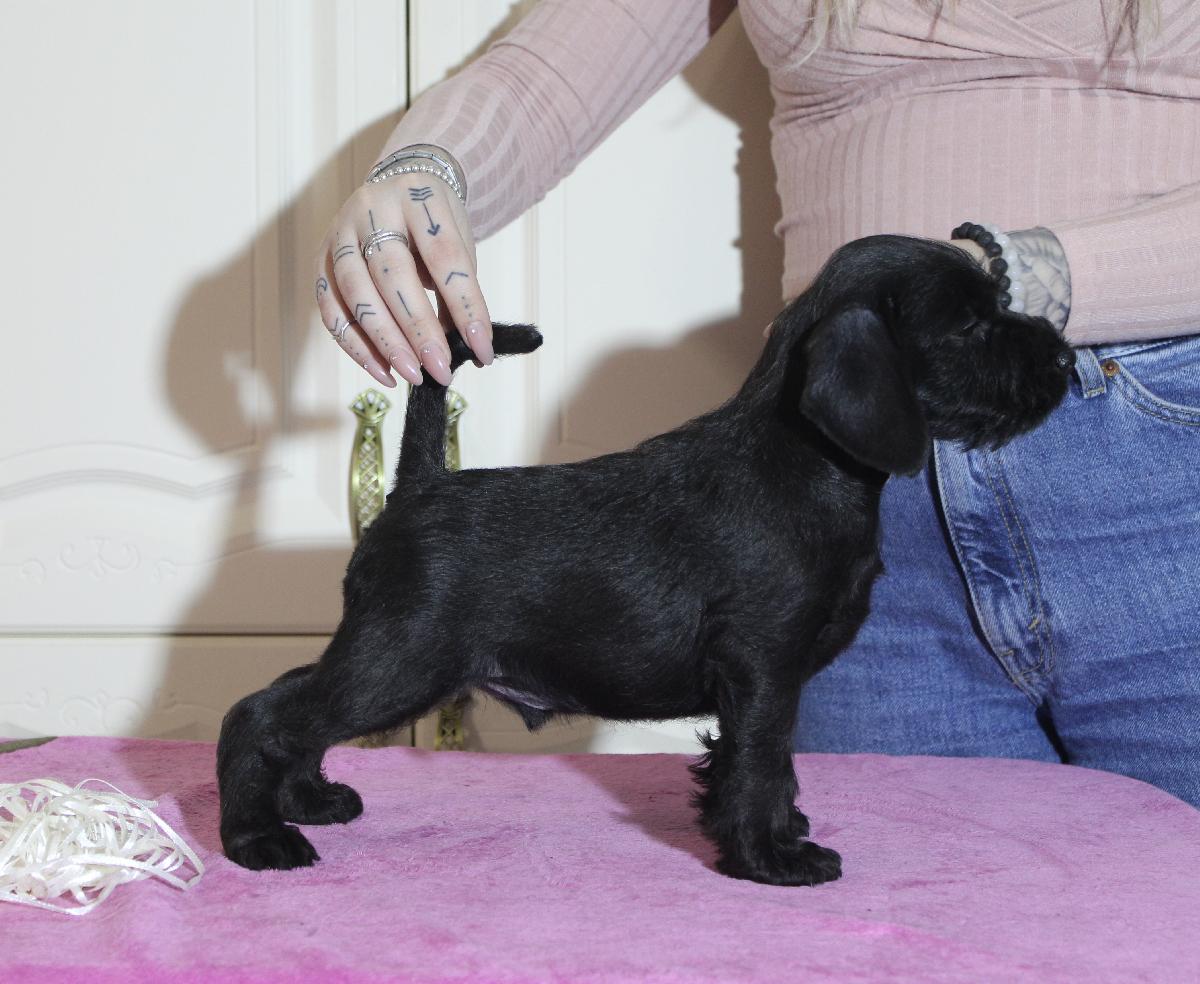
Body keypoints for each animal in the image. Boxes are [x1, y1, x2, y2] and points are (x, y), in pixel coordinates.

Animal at [217, 235, 1075, 886]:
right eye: (969, 326)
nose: (1066, 360)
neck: (805, 460)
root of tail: (421, 483)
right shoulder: (764, 668)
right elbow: (762, 760)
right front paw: (773, 856)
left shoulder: (759, 680)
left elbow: (748, 763)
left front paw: (767, 831)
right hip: (400, 661)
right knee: (258, 713)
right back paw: (257, 839)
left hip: (384, 656)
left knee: (292, 704)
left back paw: (307, 799)